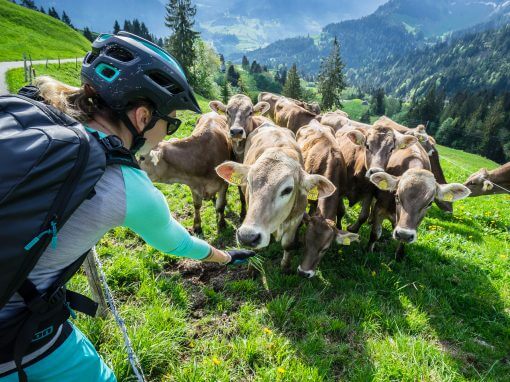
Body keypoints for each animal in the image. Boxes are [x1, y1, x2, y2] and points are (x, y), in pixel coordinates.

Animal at [215, 124, 334, 270]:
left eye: (288, 189)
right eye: (249, 182)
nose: (247, 236)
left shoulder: (296, 219)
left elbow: (287, 245)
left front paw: (285, 266)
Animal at [294, 122, 358, 278]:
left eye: (325, 249)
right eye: (305, 242)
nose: (303, 273)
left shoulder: (340, 194)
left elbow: (341, 211)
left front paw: (340, 228)